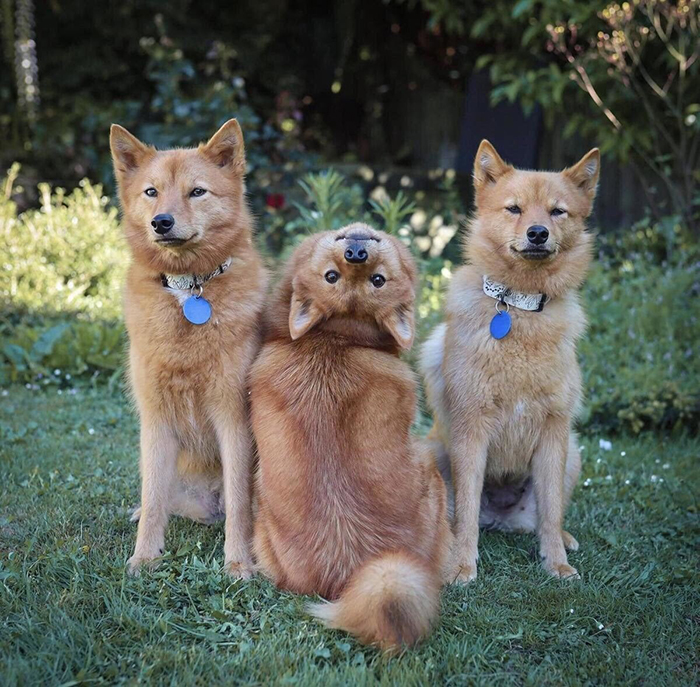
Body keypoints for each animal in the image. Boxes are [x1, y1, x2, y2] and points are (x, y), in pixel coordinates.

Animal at [110, 119, 266, 580]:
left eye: (197, 191)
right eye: (151, 191)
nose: (162, 222)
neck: (189, 291)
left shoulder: (233, 417)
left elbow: (239, 504)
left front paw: (238, 563)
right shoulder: (156, 420)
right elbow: (154, 499)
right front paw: (145, 557)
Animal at [418, 142, 600, 584]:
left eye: (557, 211)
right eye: (514, 208)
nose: (538, 233)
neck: (519, 307)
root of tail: (499, 519)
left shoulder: (554, 432)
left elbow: (551, 511)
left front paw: (556, 563)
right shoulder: (471, 429)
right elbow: (466, 511)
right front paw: (462, 566)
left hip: (573, 451)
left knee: (547, 515)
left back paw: (564, 539)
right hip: (429, 455)